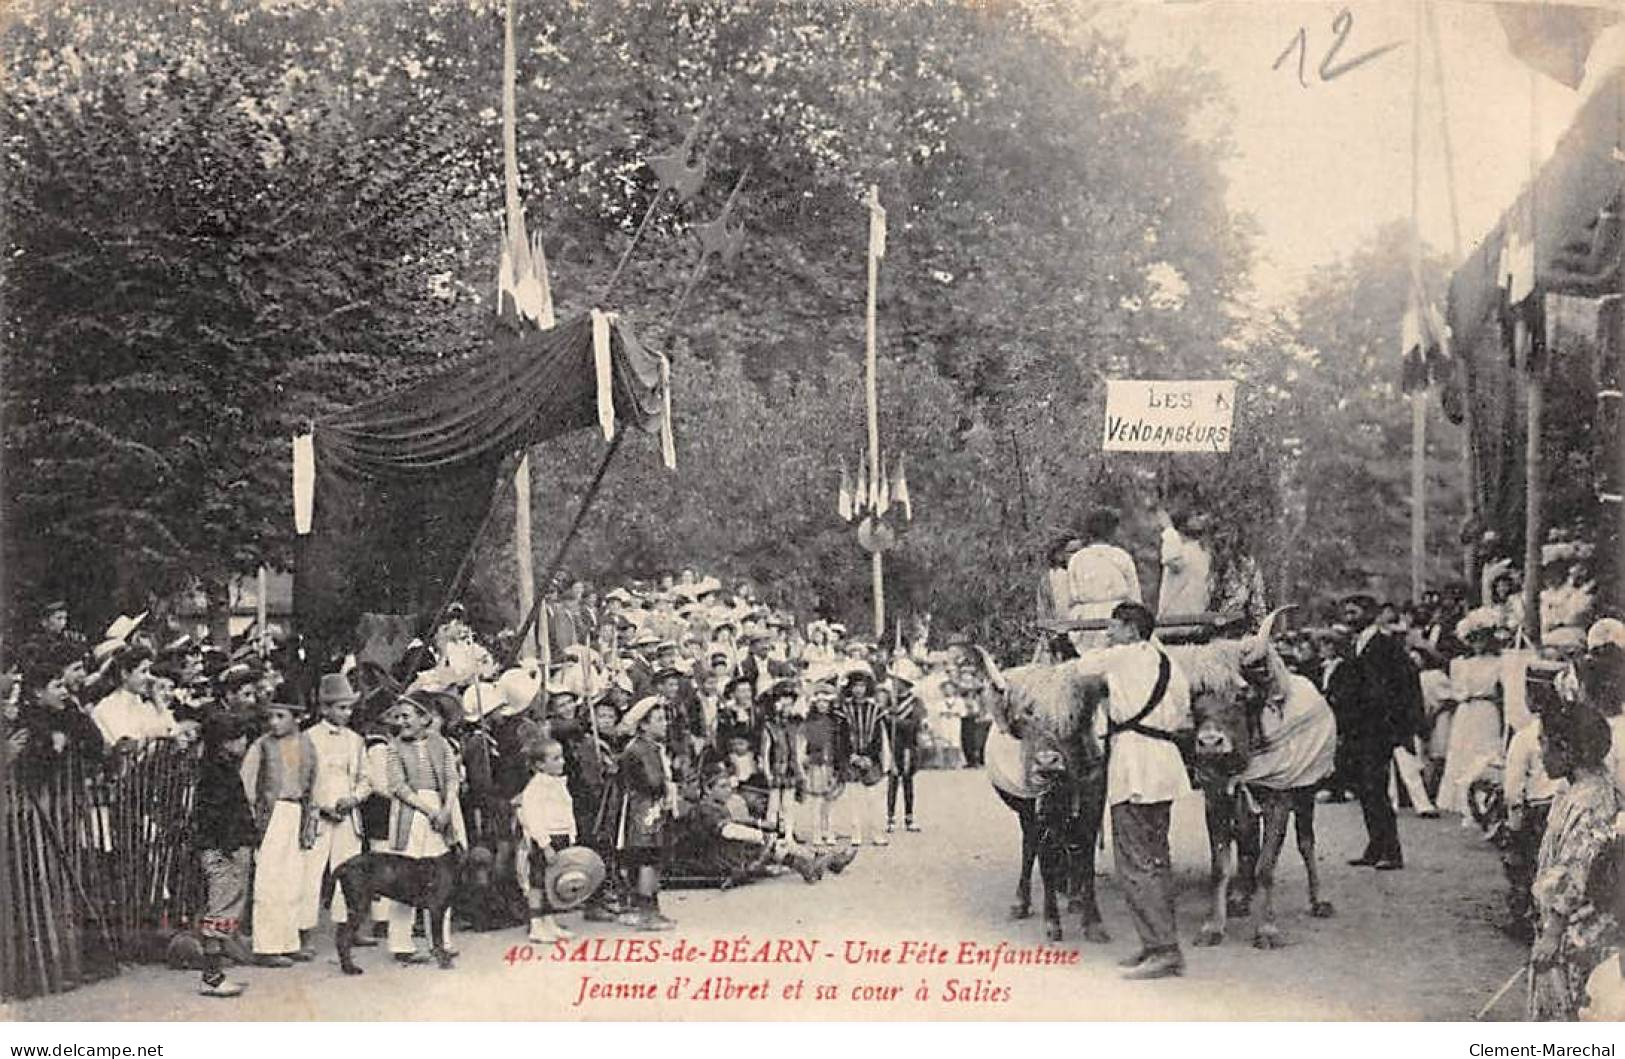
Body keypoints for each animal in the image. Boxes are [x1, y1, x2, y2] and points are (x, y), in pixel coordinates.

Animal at [329, 851, 458, 974]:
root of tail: (344, 864)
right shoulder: (437, 910)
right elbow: (438, 940)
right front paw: (444, 961)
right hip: (358, 908)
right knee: (343, 938)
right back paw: (349, 969)